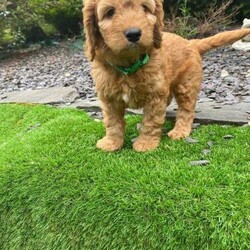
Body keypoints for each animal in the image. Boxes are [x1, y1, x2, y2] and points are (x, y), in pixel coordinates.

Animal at [83, 0, 250, 152]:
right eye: (110, 12)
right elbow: (112, 122)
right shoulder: (109, 98)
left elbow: (151, 121)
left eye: (144, 7)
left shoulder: (155, 96)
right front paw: (111, 143)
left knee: (187, 110)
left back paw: (180, 131)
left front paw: (146, 144)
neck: (129, 66)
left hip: (186, 85)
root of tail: (191, 43)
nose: (134, 34)